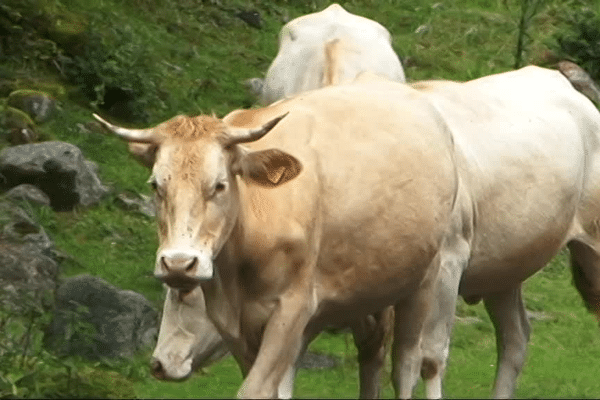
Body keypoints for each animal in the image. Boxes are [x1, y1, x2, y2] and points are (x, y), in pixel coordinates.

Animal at [96, 65, 600, 396]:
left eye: (219, 184)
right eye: (156, 185)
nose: (159, 363)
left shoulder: (443, 267)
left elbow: (429, 359)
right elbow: (356, 360)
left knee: (430, 356)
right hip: (504, 272)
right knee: (515, 340)